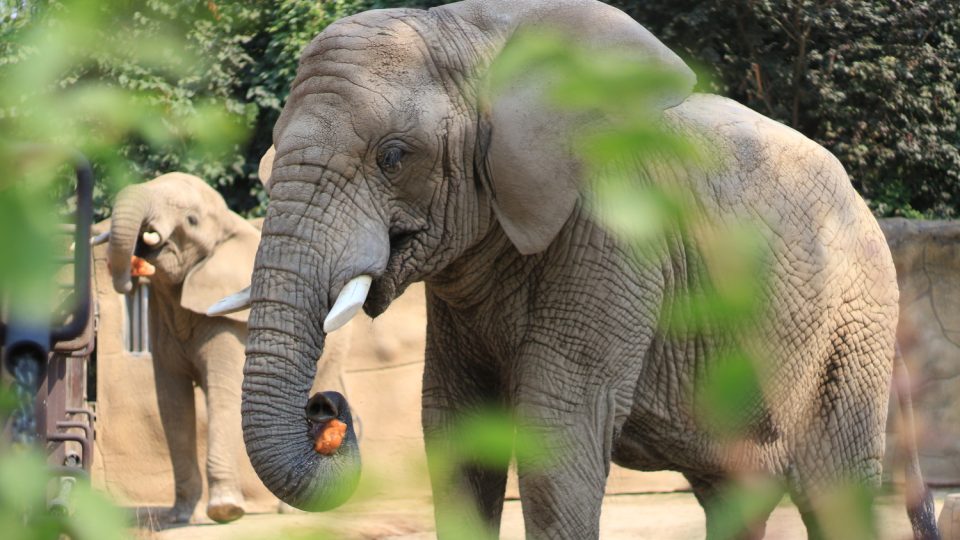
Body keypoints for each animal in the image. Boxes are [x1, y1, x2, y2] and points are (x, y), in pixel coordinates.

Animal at [210, 2, 936, 536]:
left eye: (394, 155)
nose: (326, 408)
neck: (474, 34)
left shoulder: (613, 234)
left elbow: (556, 427)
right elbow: (454, 426)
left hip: (852, 324)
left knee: (834, 489)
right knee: (736, 491)